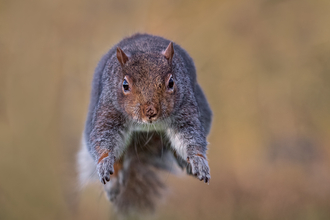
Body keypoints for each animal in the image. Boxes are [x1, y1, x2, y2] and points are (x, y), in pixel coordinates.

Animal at [76, 33, 211, 216]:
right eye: (125, 85)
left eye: (171, 82)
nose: (151, 111)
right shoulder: (108, 110)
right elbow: (104, 138)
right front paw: (105, 163)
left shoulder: (185, 109)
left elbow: (190, 135)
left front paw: (198, 161)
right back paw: (113, 182)